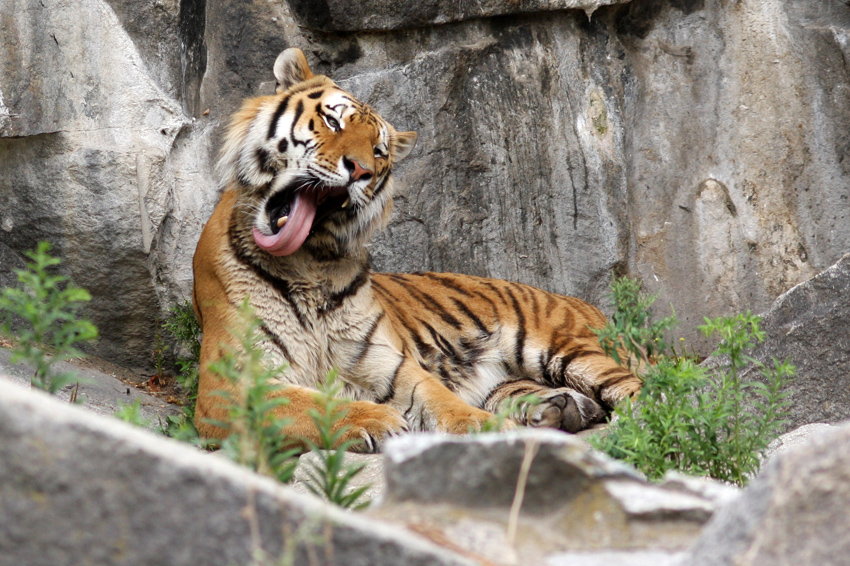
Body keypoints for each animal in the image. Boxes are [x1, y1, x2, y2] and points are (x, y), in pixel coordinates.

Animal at [192, 47, 640, 452]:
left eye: (378, 151)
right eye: (332, 121)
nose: (361, 170)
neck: (309, 264)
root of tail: (585, 304)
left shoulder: (387, 361)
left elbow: (439, 398)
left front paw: (488, 432)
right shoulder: (229, 386)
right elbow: (312, 406)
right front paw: (378, 420)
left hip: (569, 345)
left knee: (640, 388)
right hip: (517, 380)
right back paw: (561, 410)